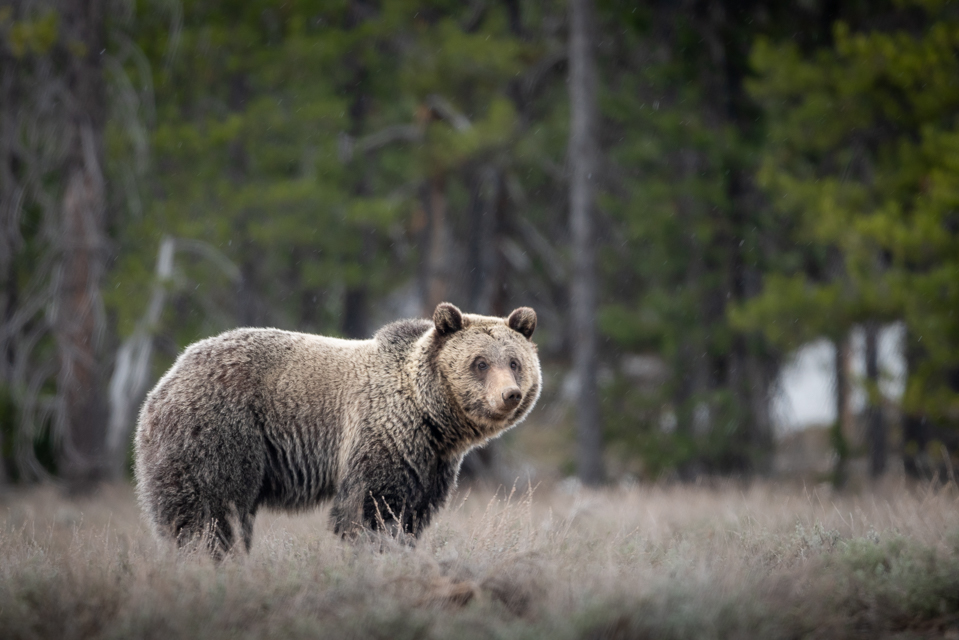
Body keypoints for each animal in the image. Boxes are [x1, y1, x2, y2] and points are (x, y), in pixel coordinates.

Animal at [134, 302, 540, 556]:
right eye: (480, 362)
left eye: (514, 362)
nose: (510, 394)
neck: (433, 419)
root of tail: (164, 381)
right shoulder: (382, 435)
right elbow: (373, 508)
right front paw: (376, 551)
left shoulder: (431, 463)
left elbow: (414, 512)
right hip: (218, 431)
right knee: (209, 511)